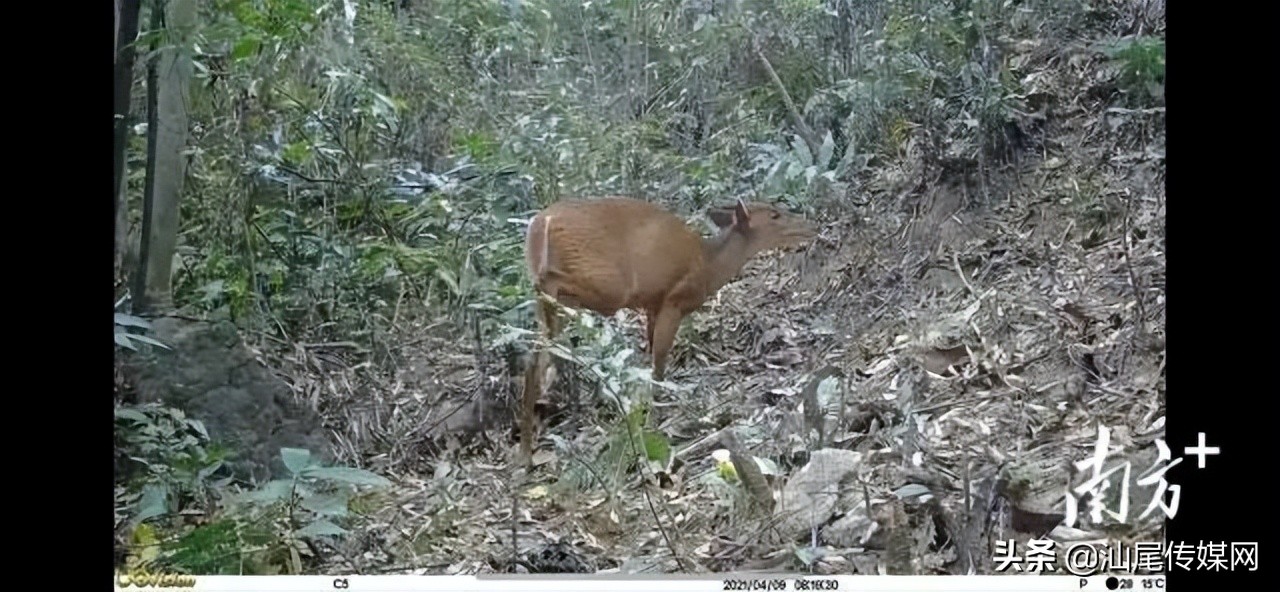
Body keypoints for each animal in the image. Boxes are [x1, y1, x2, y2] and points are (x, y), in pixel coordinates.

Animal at [514, 196, 814, 461]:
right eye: (775, 215)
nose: (809, 224)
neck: (709, 266)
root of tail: (540, 225)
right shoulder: (674, 299)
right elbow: (659, 362)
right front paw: (655, 419)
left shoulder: (653, 304)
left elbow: (650, 358)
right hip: (606, 282)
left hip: (558, 300)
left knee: (534, 355)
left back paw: (527, 453)